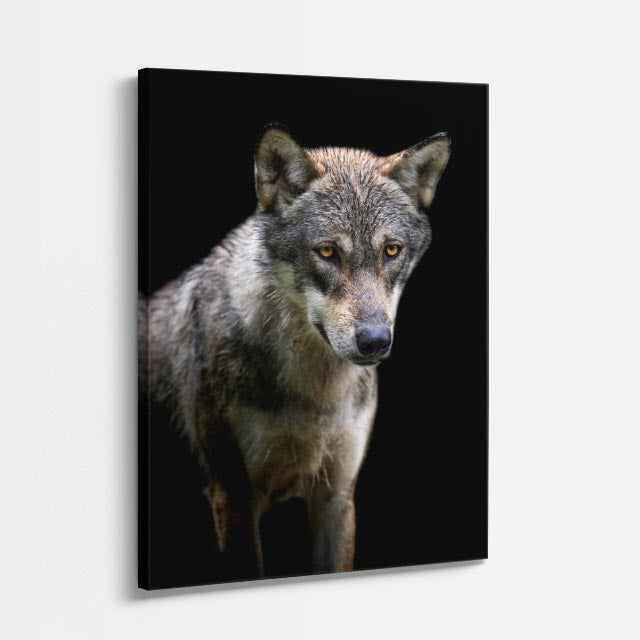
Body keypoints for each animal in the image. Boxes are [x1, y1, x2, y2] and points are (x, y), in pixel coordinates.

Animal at [143, 125, 451, 579]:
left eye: (391, 251)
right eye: (327, 252)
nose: (375, 340)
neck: (315, 395)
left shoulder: (336, 497)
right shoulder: (233, 498)